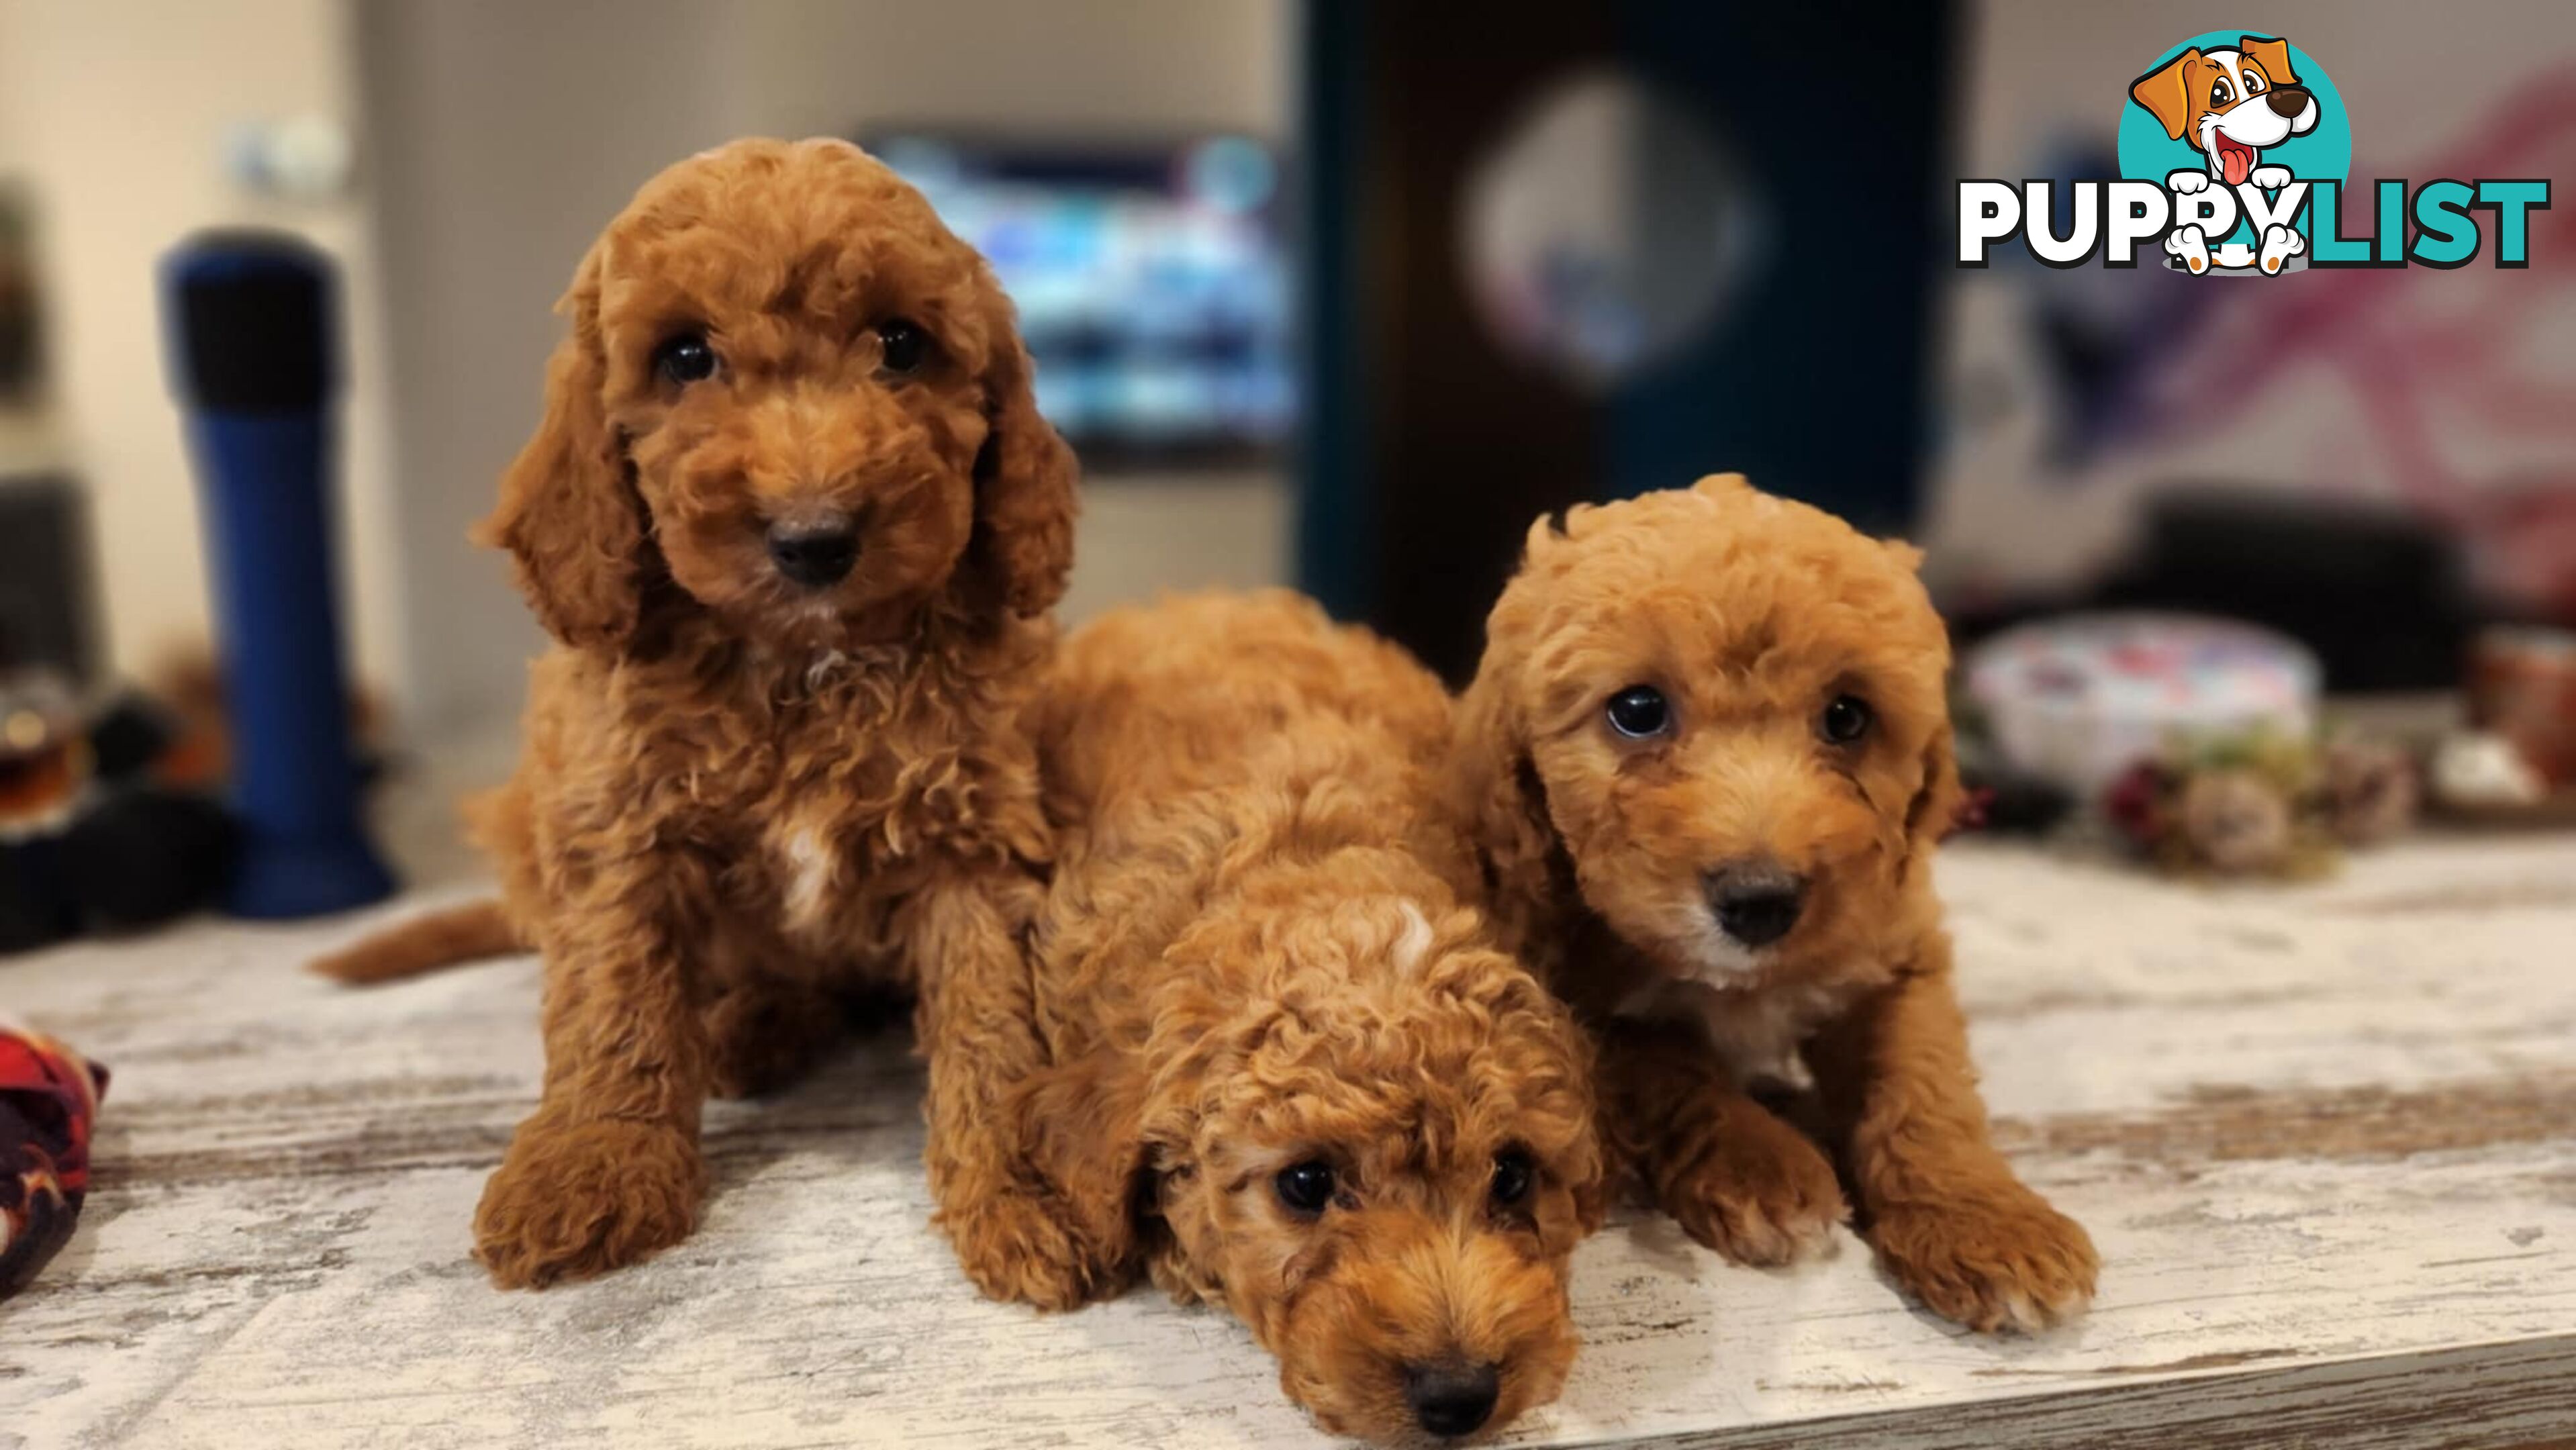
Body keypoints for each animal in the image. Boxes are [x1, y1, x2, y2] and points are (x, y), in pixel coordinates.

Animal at [319, 142, 1076, 1288]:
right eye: (684, 358)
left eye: (902, 344)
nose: (815, 538)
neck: (805, 665)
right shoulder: (620, 827)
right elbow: (614, 999)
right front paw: (592, 1163)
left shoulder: (971, 836)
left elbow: (995, 1014)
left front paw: (1025, 1184)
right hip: (524, 822)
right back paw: (742, 1028)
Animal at [1442, 479, 2101, 1339]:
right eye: (1638, 709)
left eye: (1848, 717)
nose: (1760, 902)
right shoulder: (1569, 1000)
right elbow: (1666, 1063)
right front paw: (1763, 1166)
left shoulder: (1896, 946)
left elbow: (1924, 1081)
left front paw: (1988, 1224)